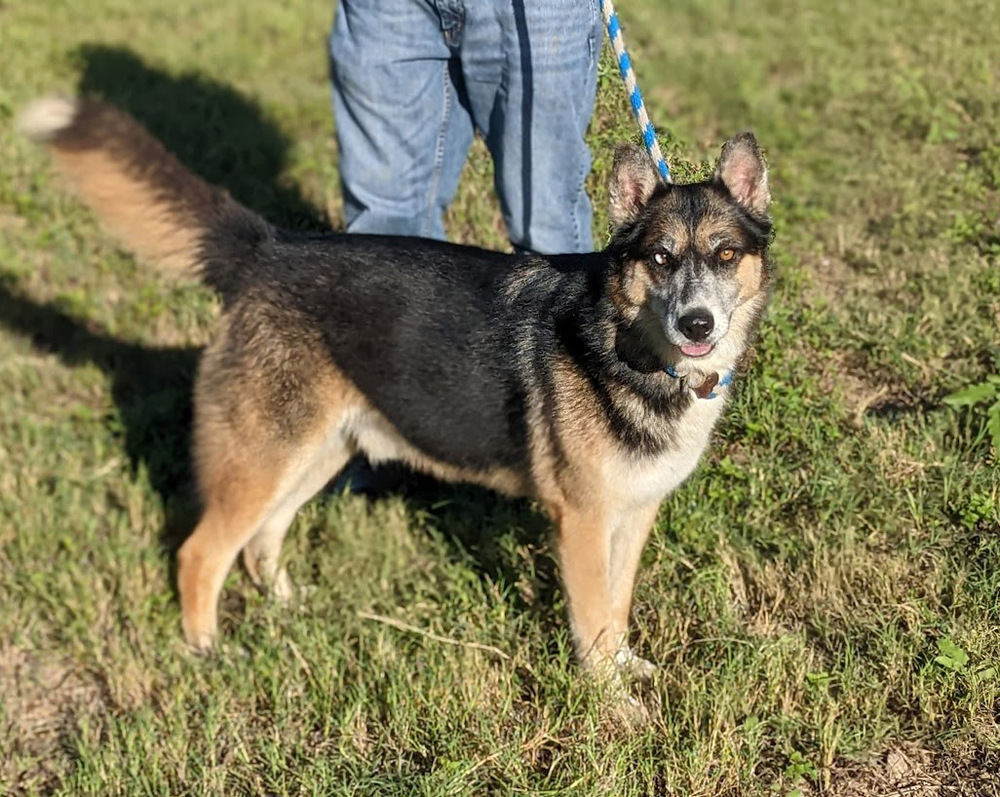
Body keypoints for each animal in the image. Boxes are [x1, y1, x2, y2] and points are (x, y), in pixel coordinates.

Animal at [21, 93, 772, 676]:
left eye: (726, 253)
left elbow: (615, 609)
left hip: (318, 451)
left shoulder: (631, 515)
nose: (698, 323)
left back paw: (291, 612)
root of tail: (267, 250)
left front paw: (624, 669)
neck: (627, 347)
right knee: (200, 553)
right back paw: (208, 652)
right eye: (660, 258)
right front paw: (610, 707)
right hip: (264, 457)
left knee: (262, 541)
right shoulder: (583, 521)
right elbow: (591, 622)